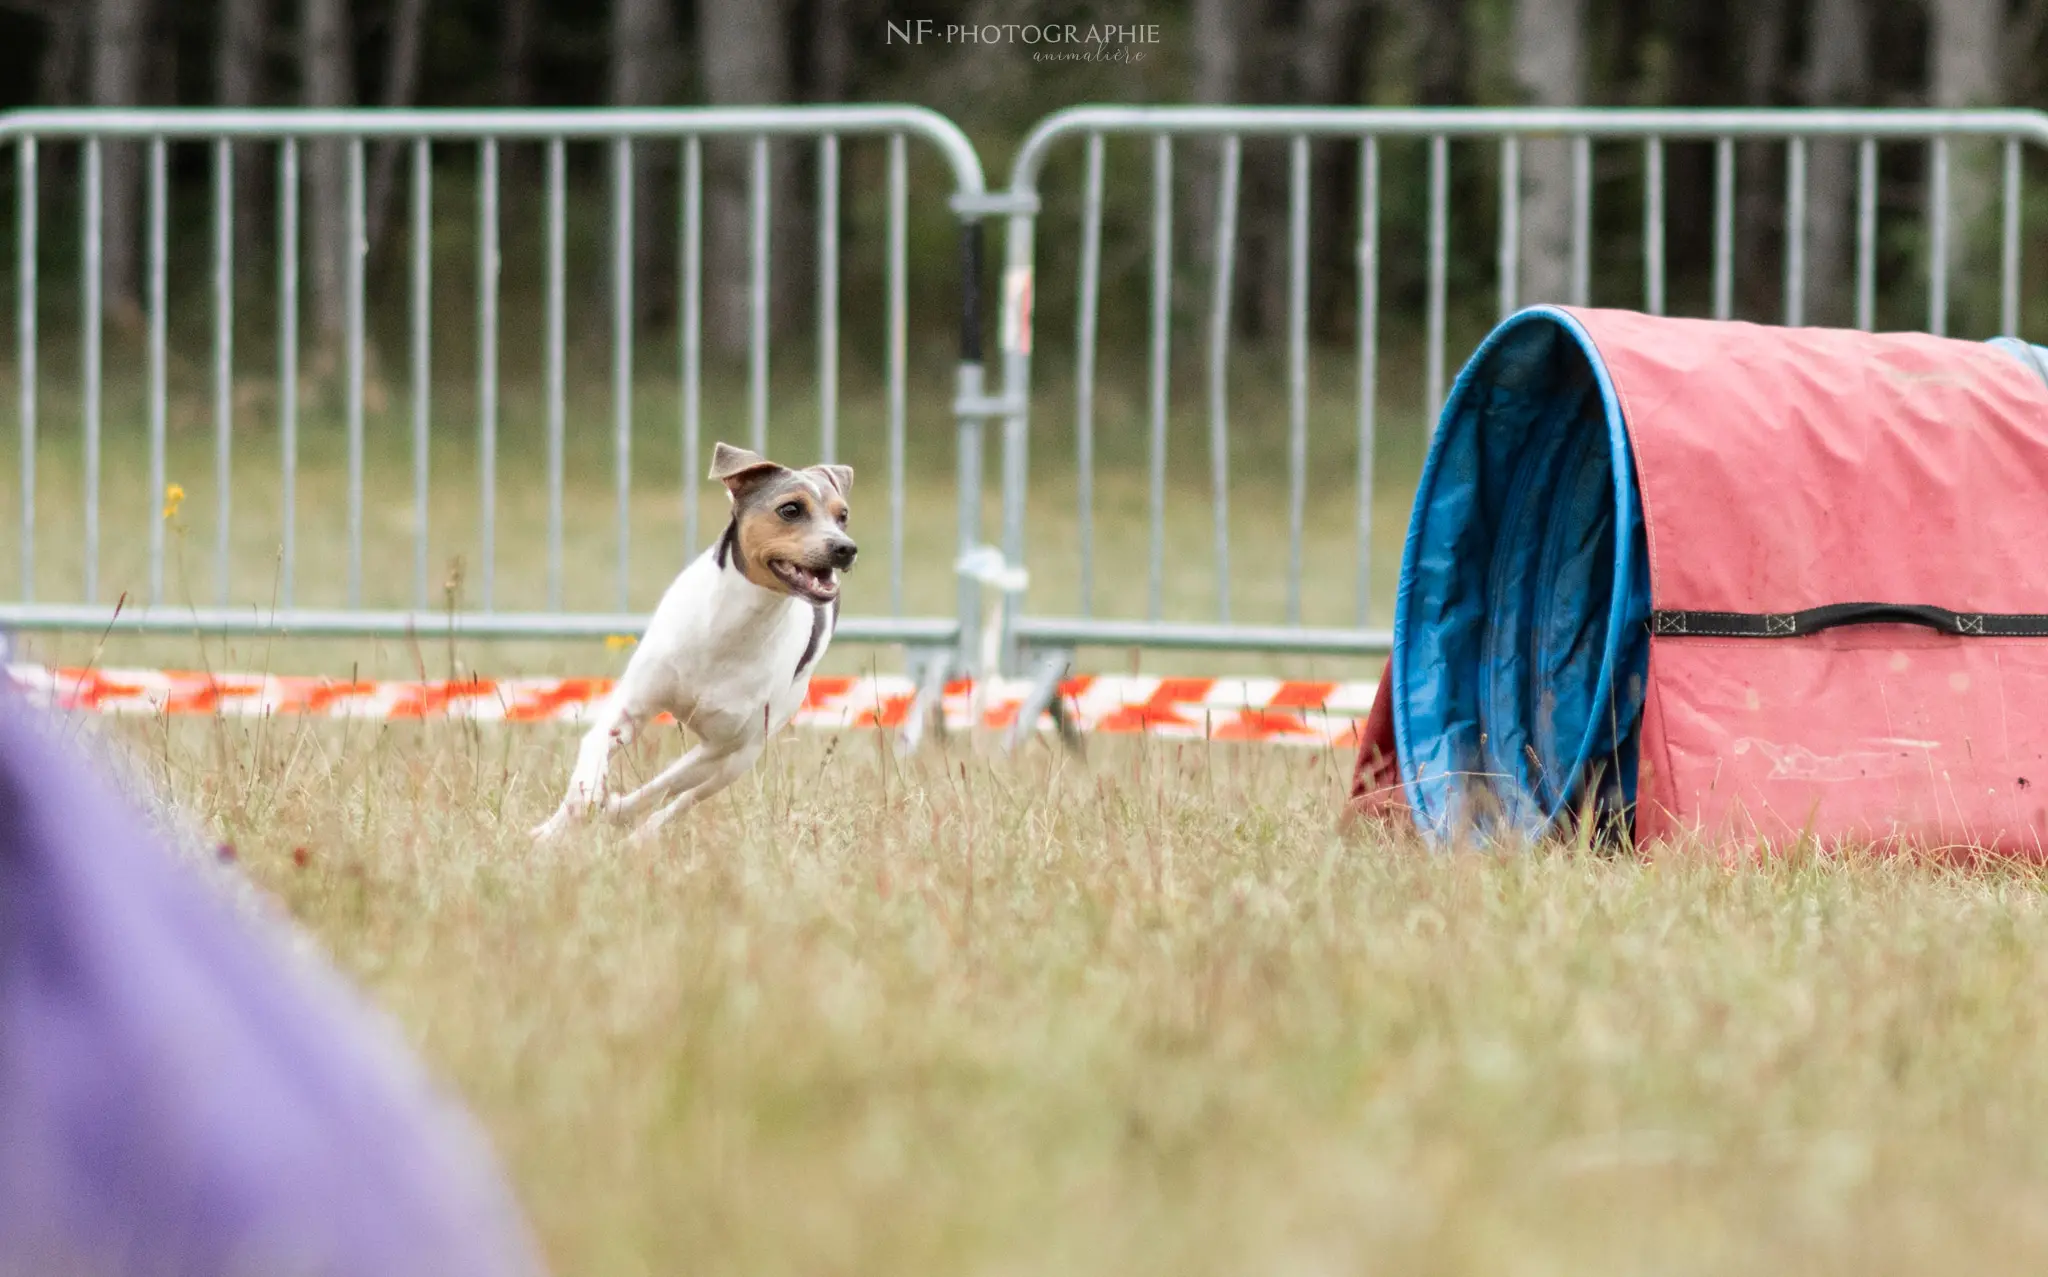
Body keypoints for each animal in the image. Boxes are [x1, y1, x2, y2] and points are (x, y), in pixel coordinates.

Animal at [528, 444, 856, 843]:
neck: (733, 624)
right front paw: (576, 809)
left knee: (684, 798)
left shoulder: (723, 748)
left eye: (842, 515)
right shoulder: (633, 705)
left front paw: (617, 811)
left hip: (745, 752)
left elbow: (666, 786)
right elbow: (595, 751)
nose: (845, 548)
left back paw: (638, 834)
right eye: (790, 509)